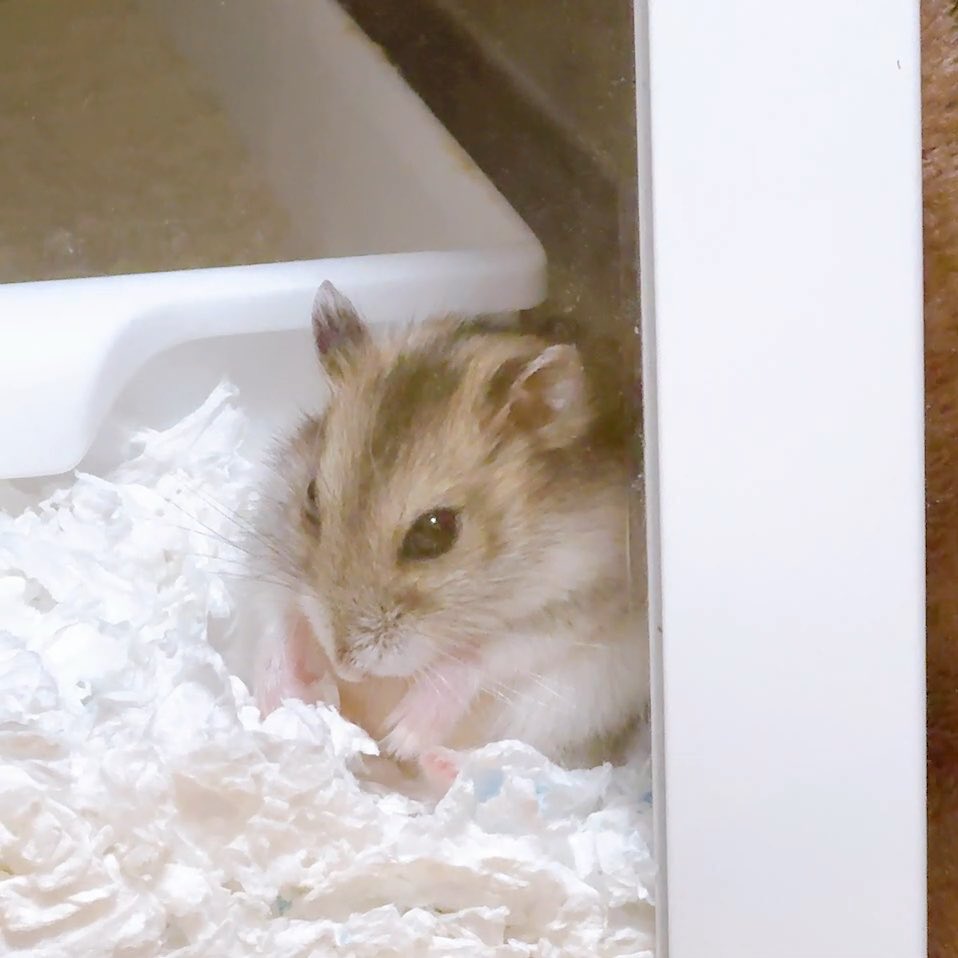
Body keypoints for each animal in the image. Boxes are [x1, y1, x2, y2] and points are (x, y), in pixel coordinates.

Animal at [247, 282, 649, 785]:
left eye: (435, 532)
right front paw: (280, 697)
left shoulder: (585, 601)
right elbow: (279, 615)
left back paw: (426, 758)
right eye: (312, 496)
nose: (345, 667)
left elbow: (479, 652)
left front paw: (403, 731)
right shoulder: (269, 539)